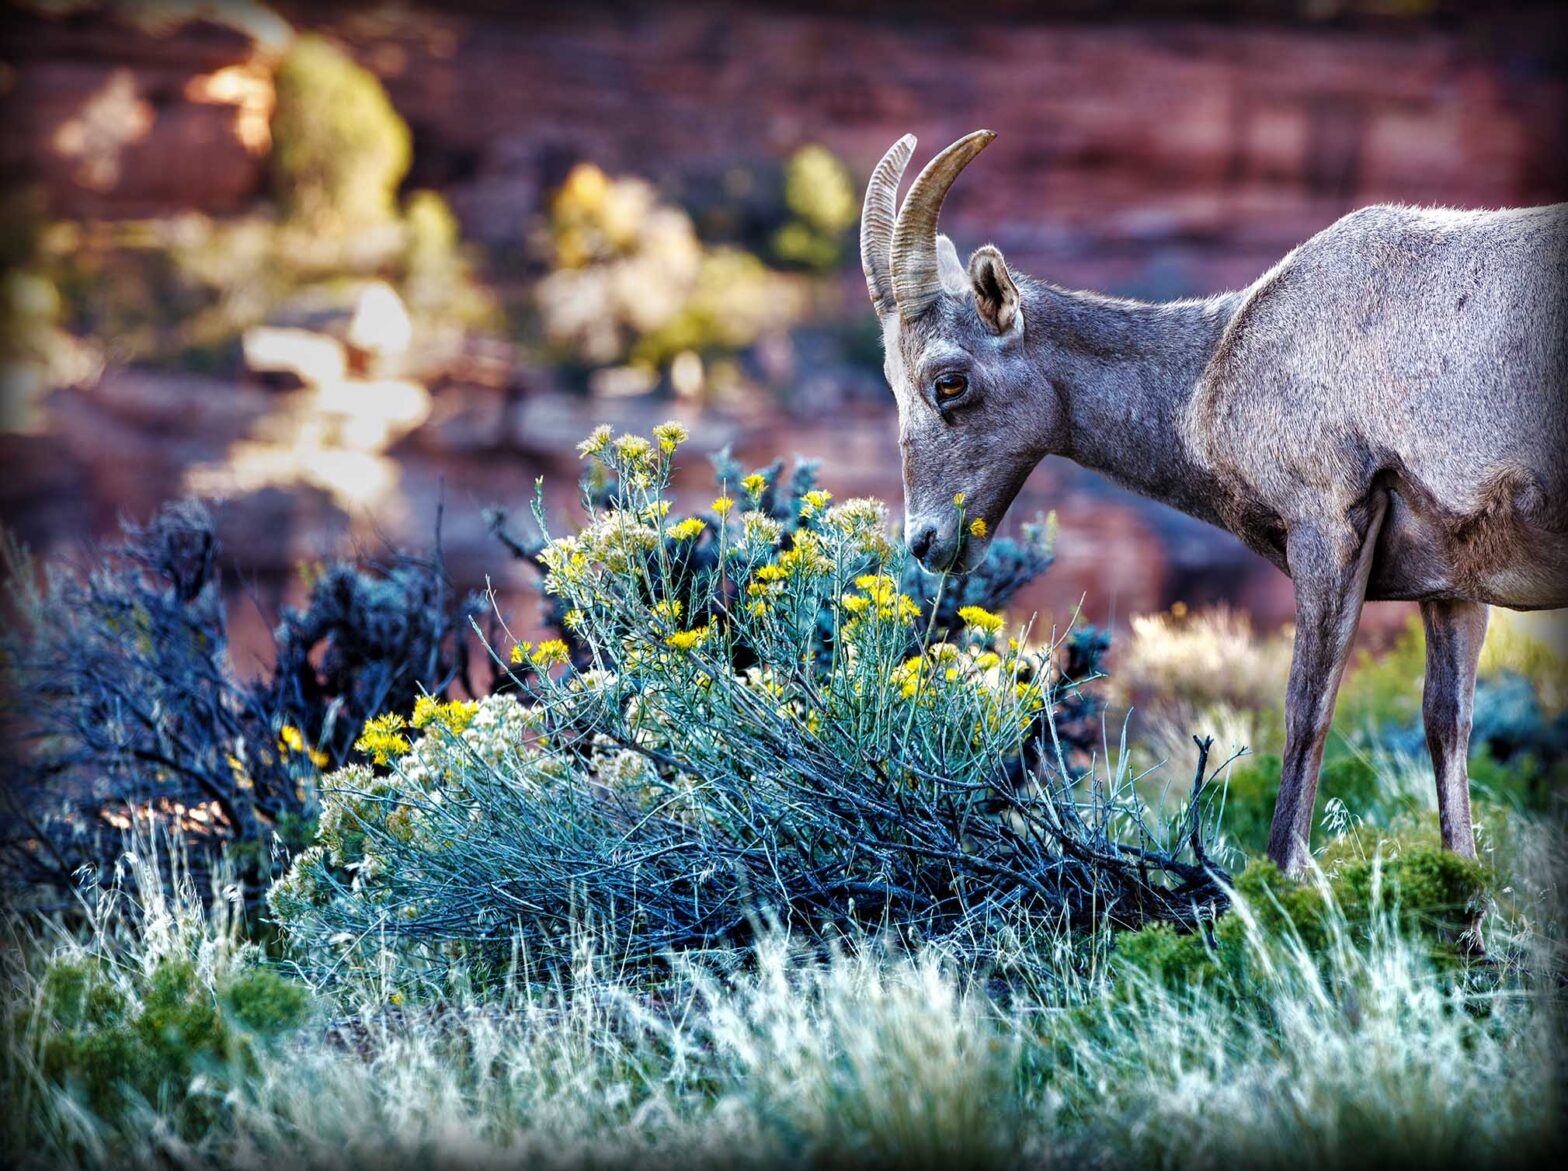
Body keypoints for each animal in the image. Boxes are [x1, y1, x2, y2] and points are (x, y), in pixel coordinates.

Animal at [865, 132, 1568, 877]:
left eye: (949, 381)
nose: (926, 543)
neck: (1213, 370)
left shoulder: (1328, 529)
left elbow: (1306, 712)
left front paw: (1282, 877)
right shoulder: (1452, 587)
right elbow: (1446, 724)